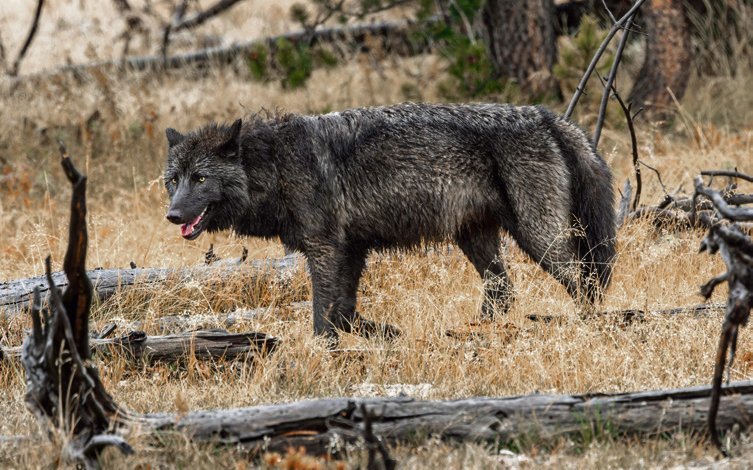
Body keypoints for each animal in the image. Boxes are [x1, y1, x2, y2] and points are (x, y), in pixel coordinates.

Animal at [163, 102, 616, 343]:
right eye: (173, 180)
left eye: (200, 179)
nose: (173, 216)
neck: (274, 165)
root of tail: (544, 115)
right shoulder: (350, 250)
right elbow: (344, 311)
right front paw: (385, 334)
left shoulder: (325, 248)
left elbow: (322, 316)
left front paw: (325, 353)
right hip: (476, 239)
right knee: (503, 290)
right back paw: (474, 332)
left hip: (539, 239)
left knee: (584, 283)